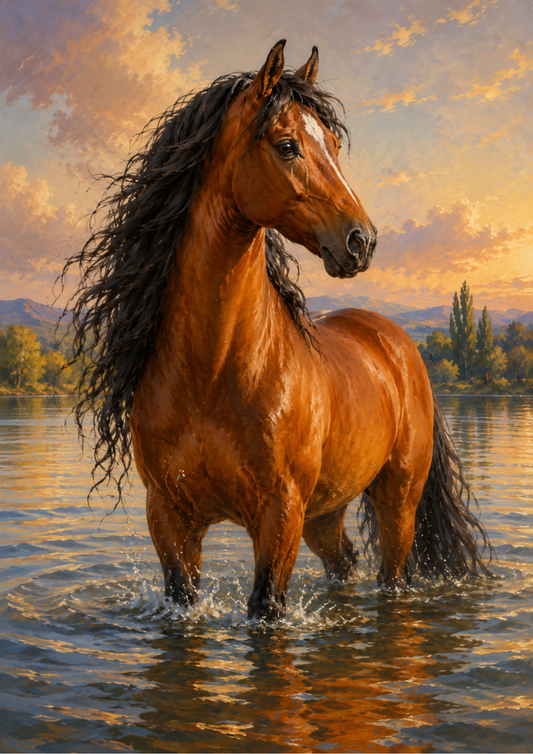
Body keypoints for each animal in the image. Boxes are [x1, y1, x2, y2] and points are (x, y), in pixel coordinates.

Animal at [62, 40, 491, 622]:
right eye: (287, 145)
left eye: (333, 143)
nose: (362, 241)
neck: (212, 369)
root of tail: (396, 342)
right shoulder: (170, 517)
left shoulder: (279, 513)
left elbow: (266, 608)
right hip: (325, 513)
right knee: (345, 562)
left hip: (395, 499)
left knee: (392, 577)